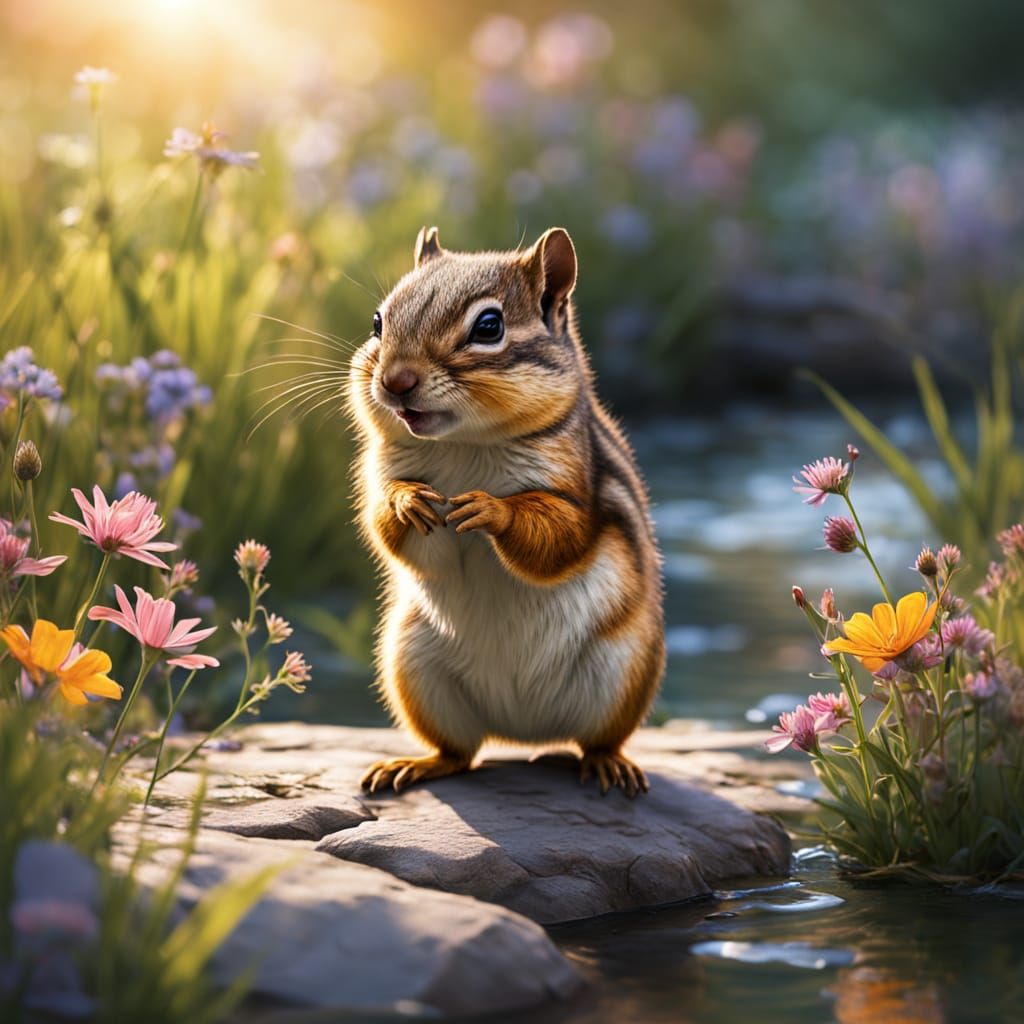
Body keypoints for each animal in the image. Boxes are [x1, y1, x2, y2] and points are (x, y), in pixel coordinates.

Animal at [348, 226, 665, 798]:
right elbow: (390, 527)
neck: (464, 444)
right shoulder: (376, 475)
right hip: (415, 672)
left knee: (597, 741)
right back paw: (415, 764)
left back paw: (610, 765)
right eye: (377, 322)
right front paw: (407, 501)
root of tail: (522, 732)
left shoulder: (576, 491)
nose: (395, 382)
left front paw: (492, 510)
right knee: (460, 753)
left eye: (489, 326)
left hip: (624, 675)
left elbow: (559, 536)